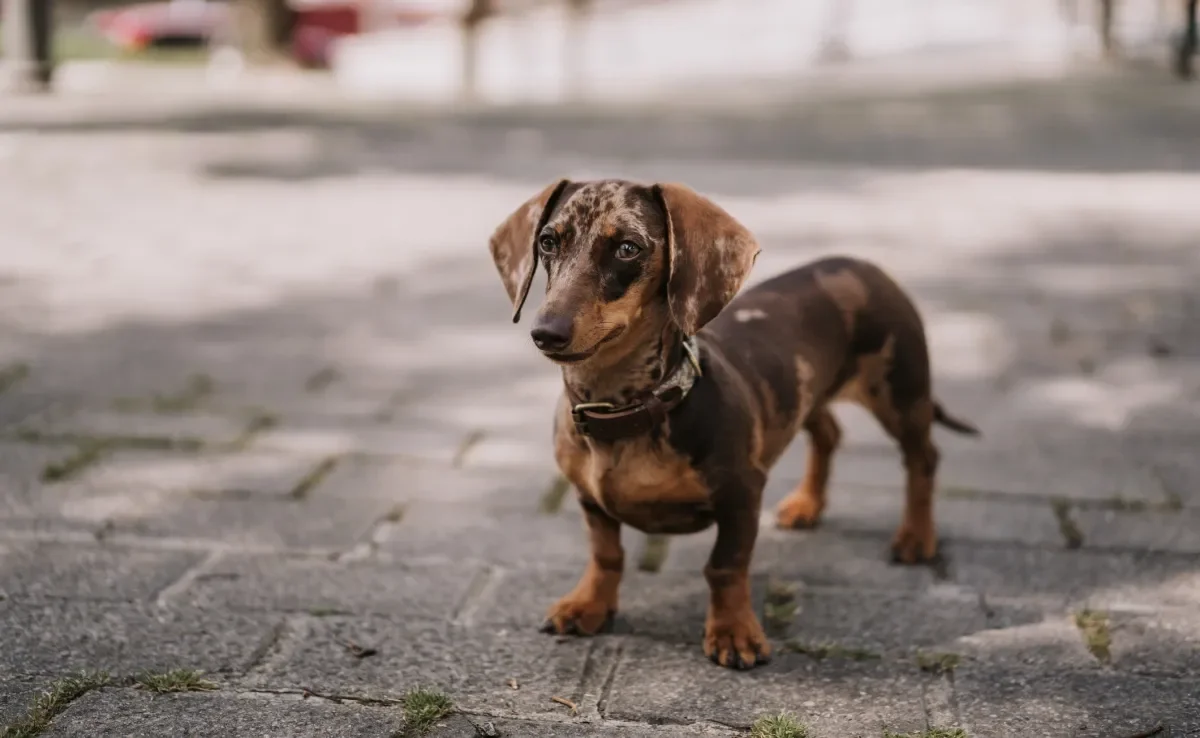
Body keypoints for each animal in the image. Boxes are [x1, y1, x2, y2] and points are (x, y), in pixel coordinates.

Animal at [484, 177, 974, 672]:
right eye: (548, 241)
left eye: (627, 248)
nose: (546, 332)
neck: (622, 411)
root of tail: (860, 263)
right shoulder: (589, 498)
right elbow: (606, 555)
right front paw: (588, 605)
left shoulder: (742, 492)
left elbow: (725, 566)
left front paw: (734, 631)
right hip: (804, 395)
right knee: (829, 434)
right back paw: (807, 505)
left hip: (900, 392)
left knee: (923, 457)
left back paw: (916, 536)